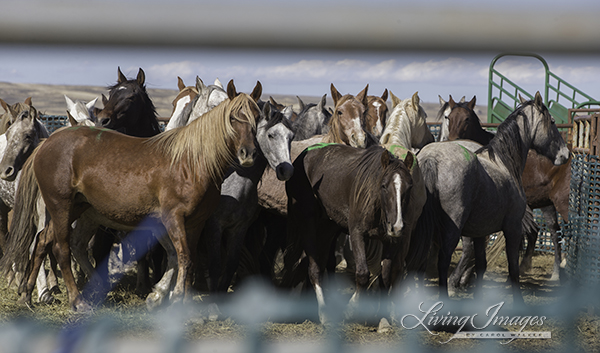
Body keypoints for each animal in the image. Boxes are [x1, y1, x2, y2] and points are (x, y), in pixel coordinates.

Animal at [4, 80, 262, 310]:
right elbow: (183, 258)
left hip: (77, 207)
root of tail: (46, 143)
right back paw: (77, 301)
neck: (190, 161)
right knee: (60, 248)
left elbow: (186, 260)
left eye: (257, 117)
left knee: (43, 242)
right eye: (232, 117)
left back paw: (27, 296)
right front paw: (173, 299)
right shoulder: (173, 218)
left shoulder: (196, 223)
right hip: (61, 206)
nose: (248, 154)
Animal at [288, 143, 418, 322]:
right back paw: (323, 312)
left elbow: (385, 276)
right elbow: (363, 273)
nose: (397, 226)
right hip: (307, 222)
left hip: (327, 227)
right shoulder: (357, 233)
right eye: (384, 186)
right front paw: (350, 309)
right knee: (313, 268)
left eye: (410, 187)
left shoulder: (390, 241)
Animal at [414, 92, 568, 304]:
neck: (504, 162)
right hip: (452, 230)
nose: (565, 154)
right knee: (443, 261)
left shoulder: (479, 232)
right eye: (552, 121)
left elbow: (482, 264)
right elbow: (512, 267)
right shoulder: (513, 227)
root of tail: (431, 159)